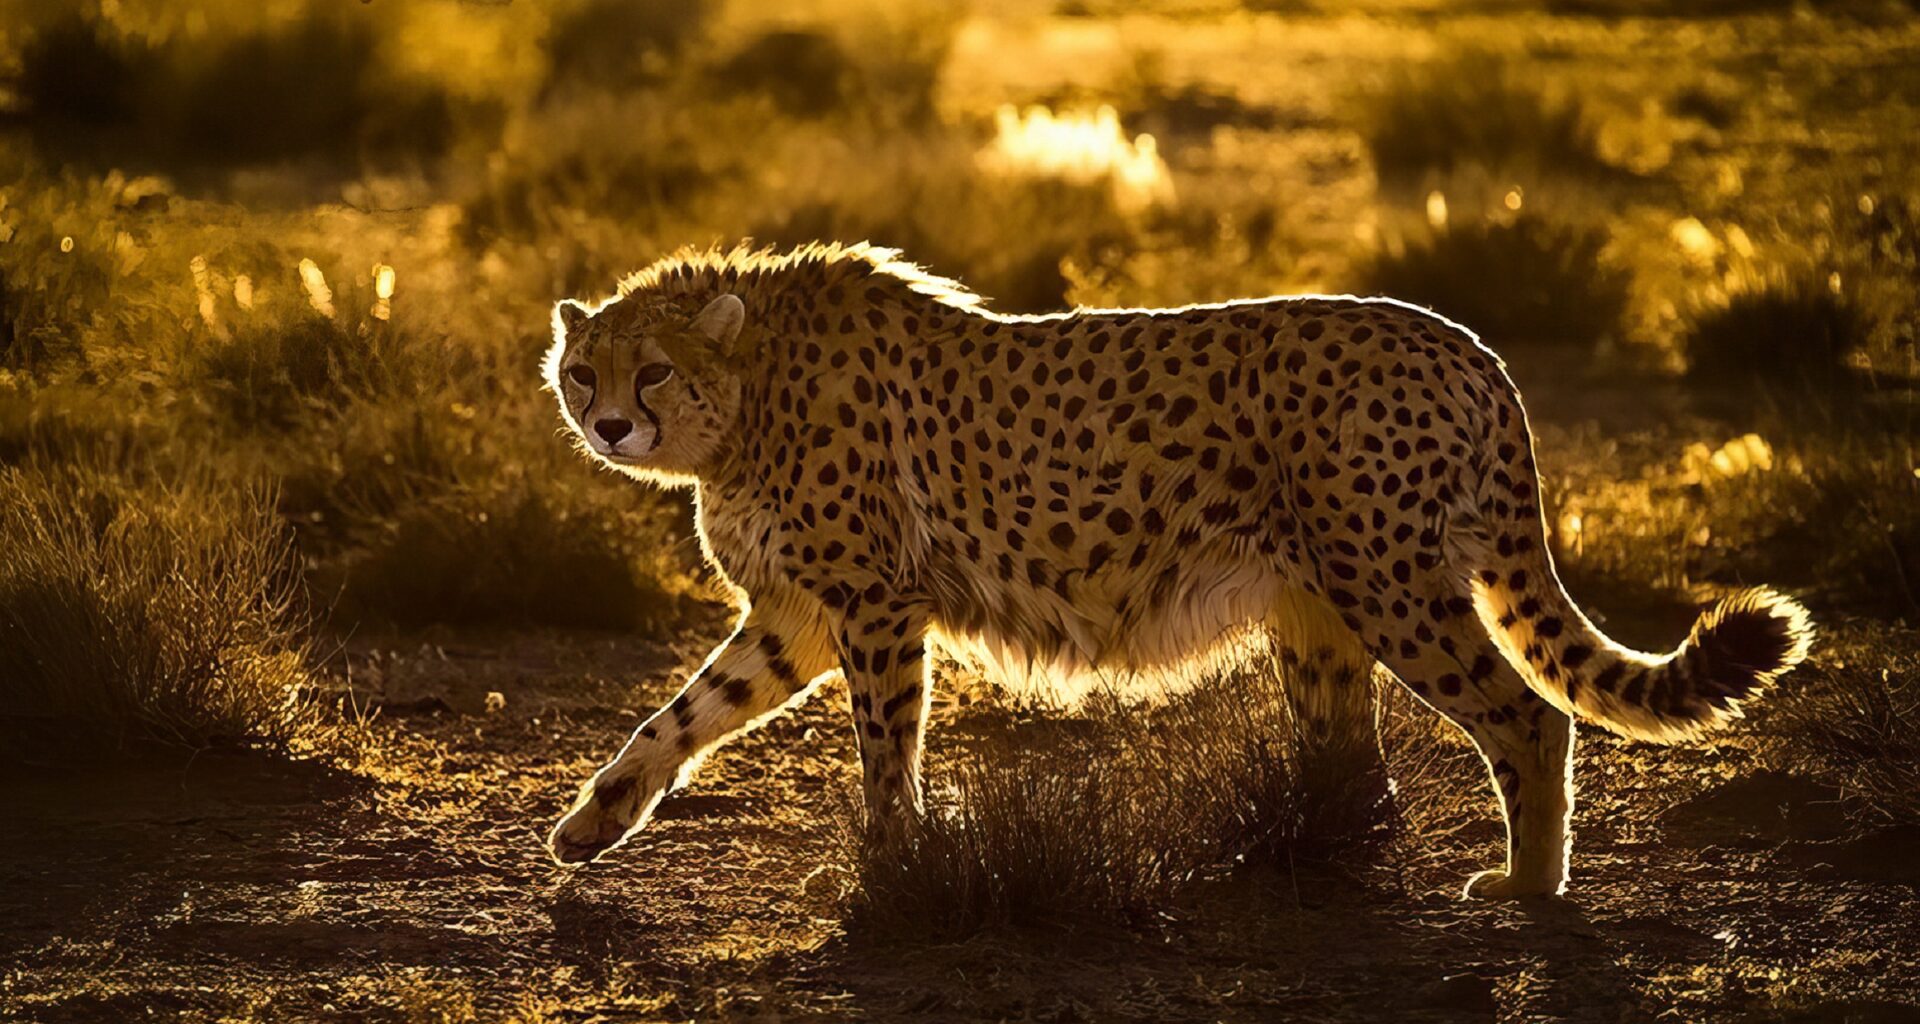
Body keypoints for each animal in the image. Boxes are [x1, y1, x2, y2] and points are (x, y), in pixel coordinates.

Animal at [543, 242, 1813, 899]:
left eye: (652, 371)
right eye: (582, 370)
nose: (608, 425)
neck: (745, 395)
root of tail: (1464, 339)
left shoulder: (874, 604)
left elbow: (882, 743)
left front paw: (892, 860)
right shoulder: (801, 613)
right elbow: (684, 711)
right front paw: (595, 818)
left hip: (1390, 584)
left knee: (1528, 716)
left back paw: (1527, 884)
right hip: (1317, 609)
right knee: (1356, 765)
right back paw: (1305, 855)